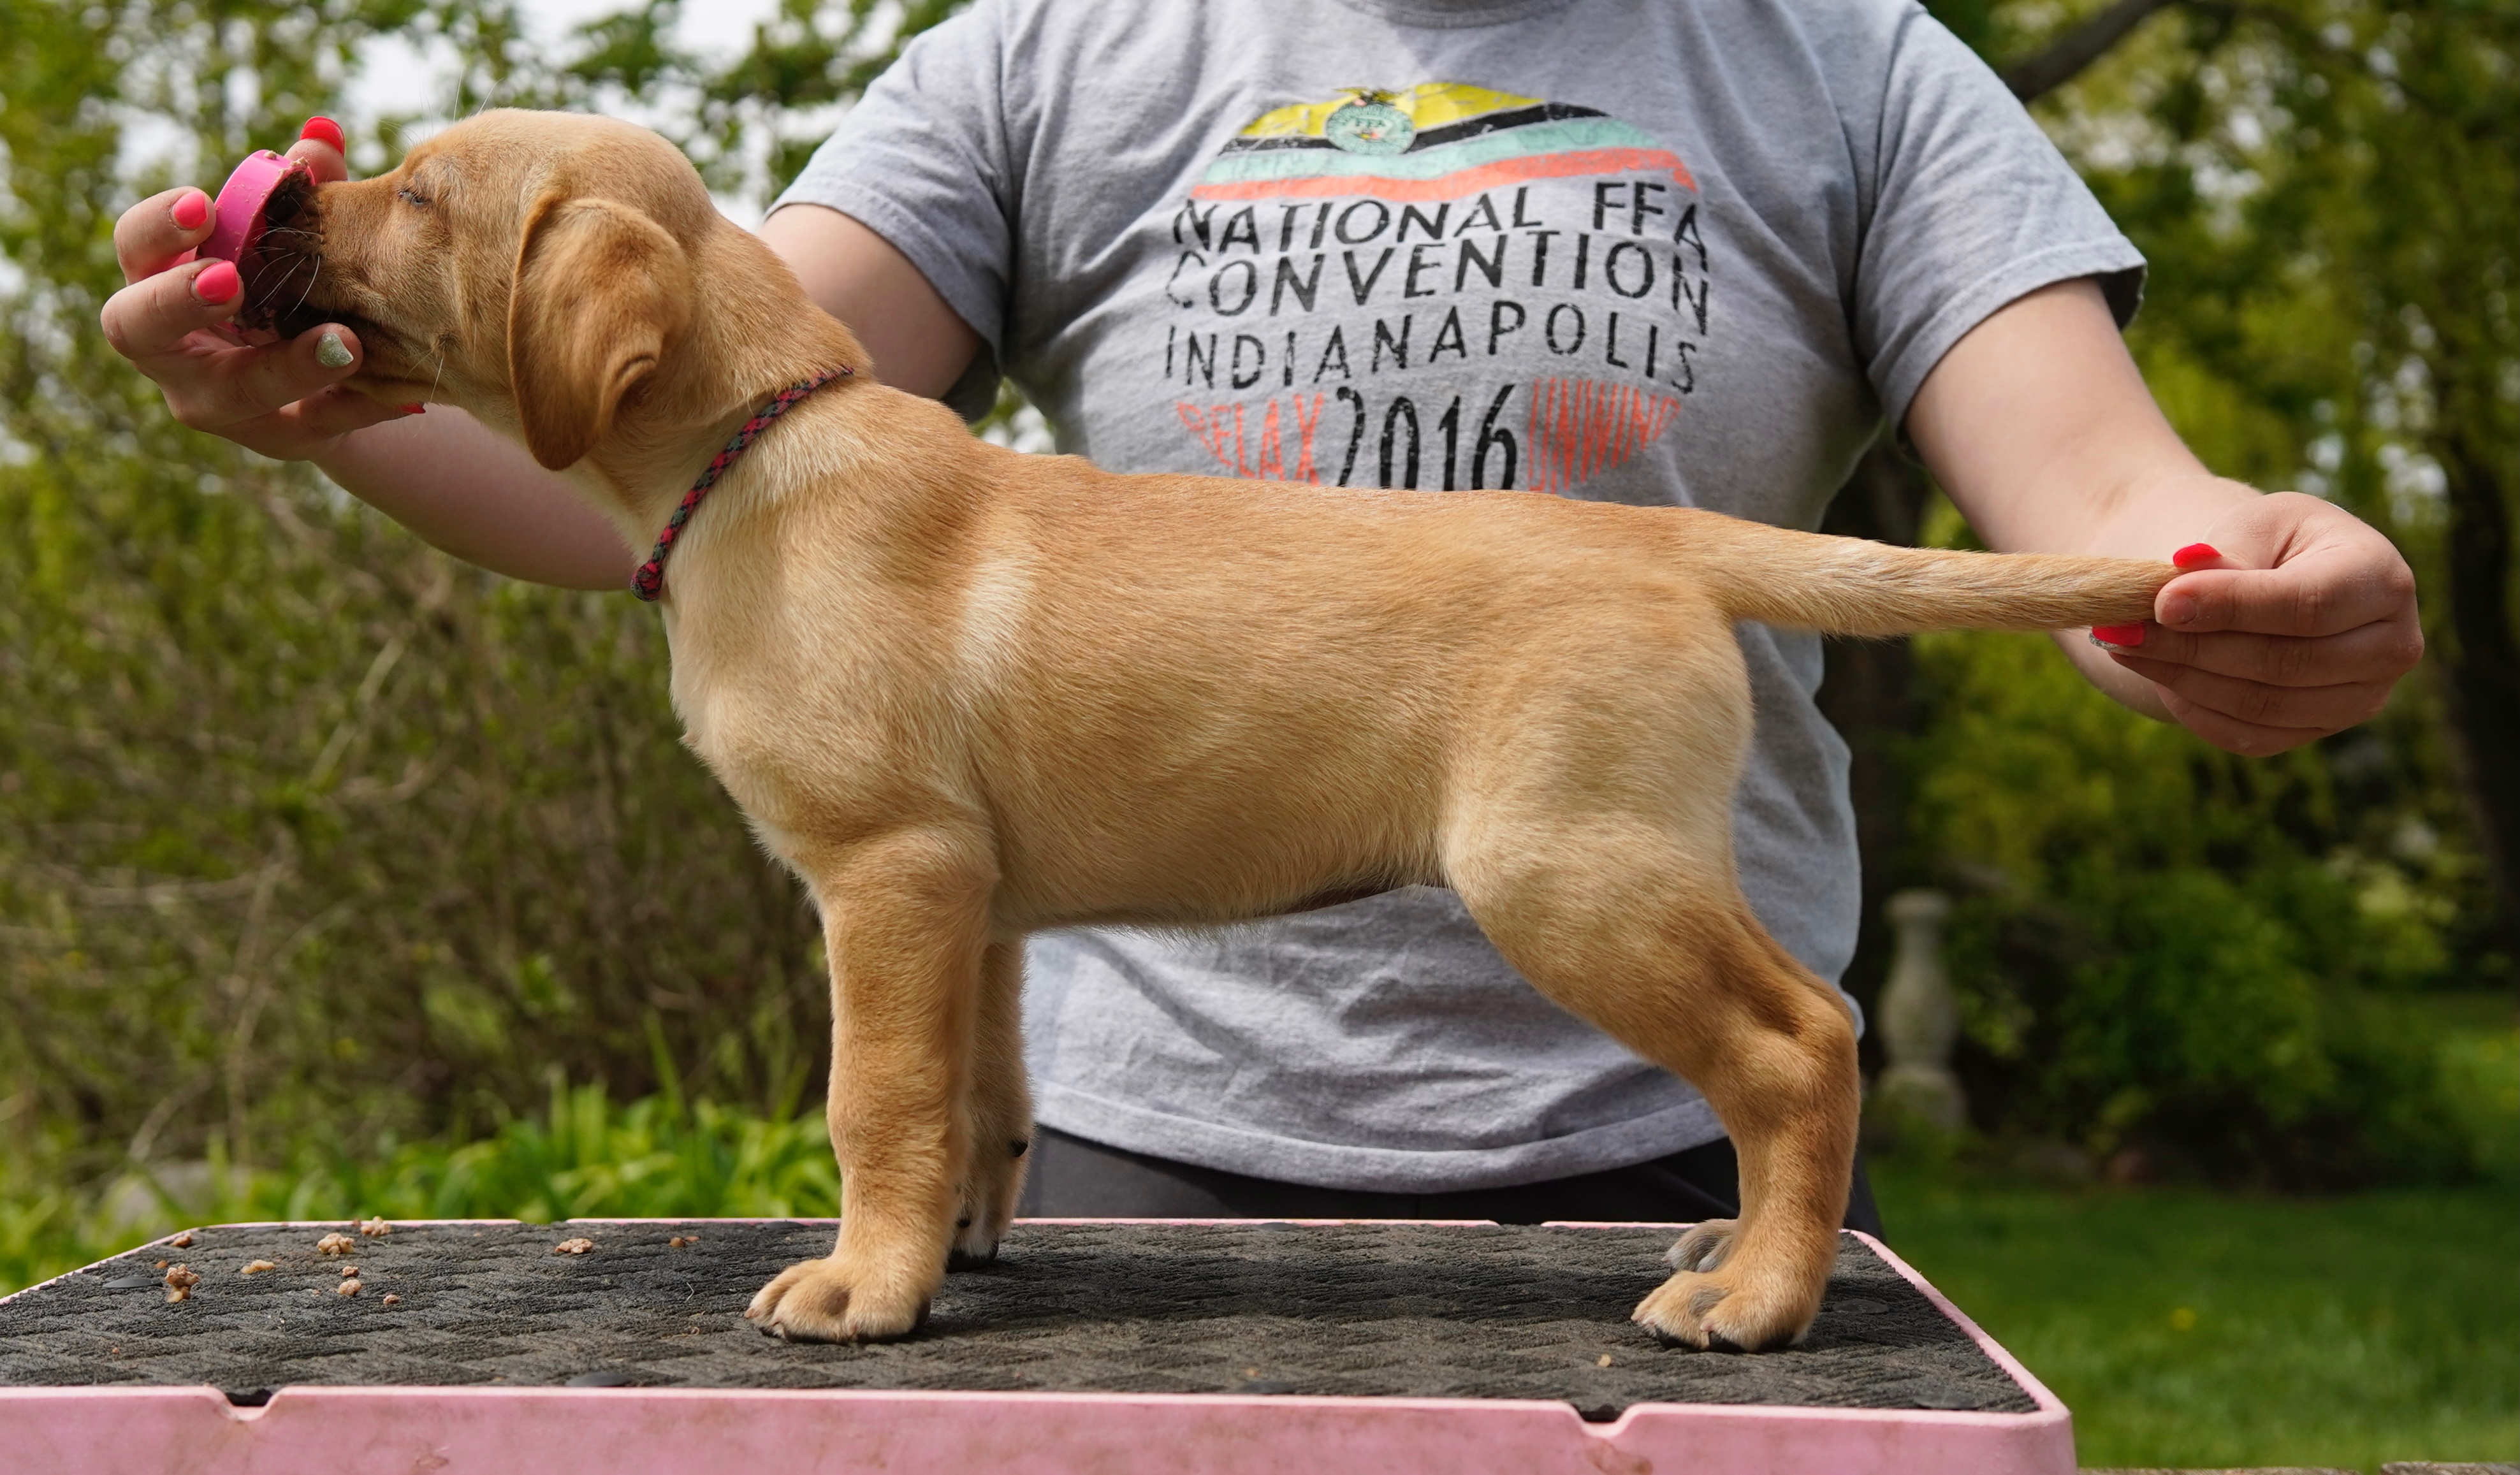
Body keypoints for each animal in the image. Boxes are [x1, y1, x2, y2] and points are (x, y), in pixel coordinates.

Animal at [256, 106, 2177, 1341]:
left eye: (419, 194)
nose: (284, 205)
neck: (755, 445)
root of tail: (1657, 540)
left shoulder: (886, 872)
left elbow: (875, 1096)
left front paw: (860, 1288)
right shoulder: (973, 905)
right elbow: (979, 1097)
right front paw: (951, 1256)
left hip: (1570, 868)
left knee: (1798, 1045)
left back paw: (1759, 1299)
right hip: (1613, 861)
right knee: (1813, 1029)